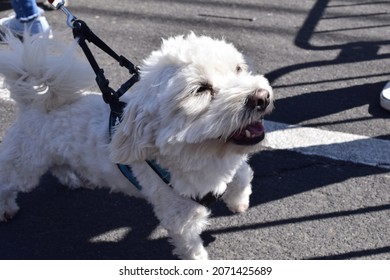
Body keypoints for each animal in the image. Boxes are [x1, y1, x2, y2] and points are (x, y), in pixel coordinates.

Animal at [0, 33, 272, 260]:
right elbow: (190, 247)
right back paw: (6, 209)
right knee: (8, 183)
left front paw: (238, 201)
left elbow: (243, 174)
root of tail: (36, 103)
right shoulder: (179, 214)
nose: (262, 97)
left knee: (59, 165)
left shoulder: (229, 165)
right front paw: (199, 263)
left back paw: (71, 179)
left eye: (239, 68)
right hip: (25, 166)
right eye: (201, 90)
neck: (206, 152)